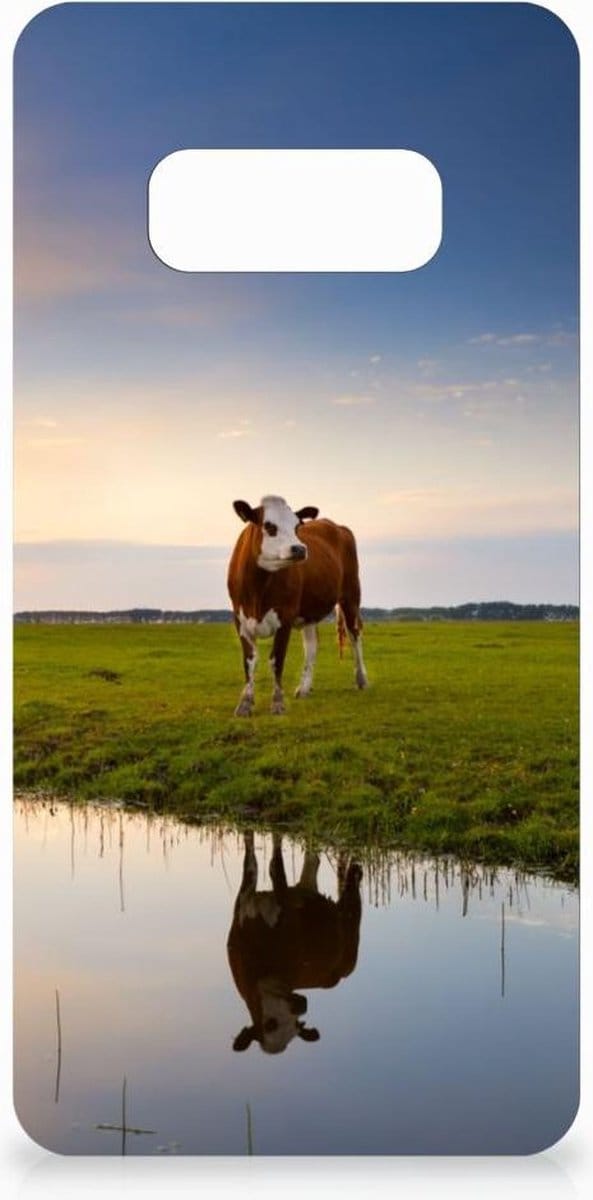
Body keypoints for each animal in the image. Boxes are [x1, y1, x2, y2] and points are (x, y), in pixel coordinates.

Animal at [227, 495, 368, 716]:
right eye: (269, 526)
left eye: (296, 526)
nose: (300, 549)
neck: (257, 589)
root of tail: (336, 526)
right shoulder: (240, 620)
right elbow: (249, 661)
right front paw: (245, 703)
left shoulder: (285, 617)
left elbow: (276, 660)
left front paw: (277, 703)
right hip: (309, 611)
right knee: (311, 645)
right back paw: (304, 688)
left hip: (351, 596)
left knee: (355, 634)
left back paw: (361, 679)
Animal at [227, 831, 363, 1055]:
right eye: (270, 1024)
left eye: (296, 1026)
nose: (301, 1006)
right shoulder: (243, 904)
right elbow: (252, 861)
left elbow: (275, 867)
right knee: (312, 861)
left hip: (350, 937)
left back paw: (355, 870)